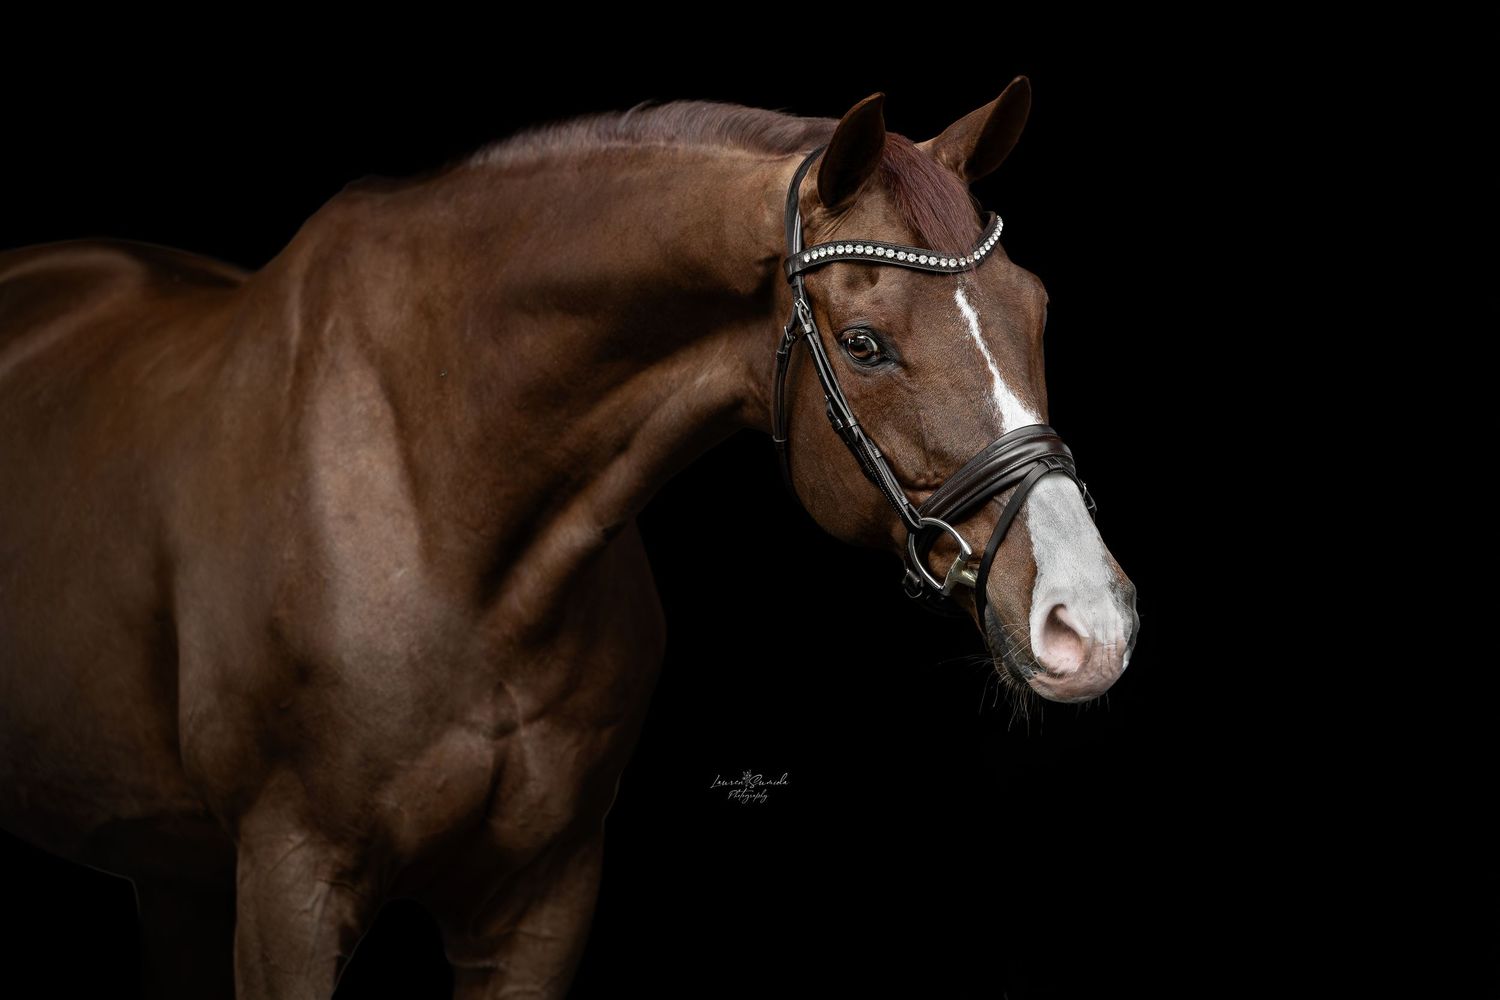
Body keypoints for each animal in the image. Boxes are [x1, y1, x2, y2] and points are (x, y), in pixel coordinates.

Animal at [0, 77, 1137, 997]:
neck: (444, 506)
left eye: (1036, 306)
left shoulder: (543, 900)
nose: (1093, 622)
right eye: (864, 345)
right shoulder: (291, 887)